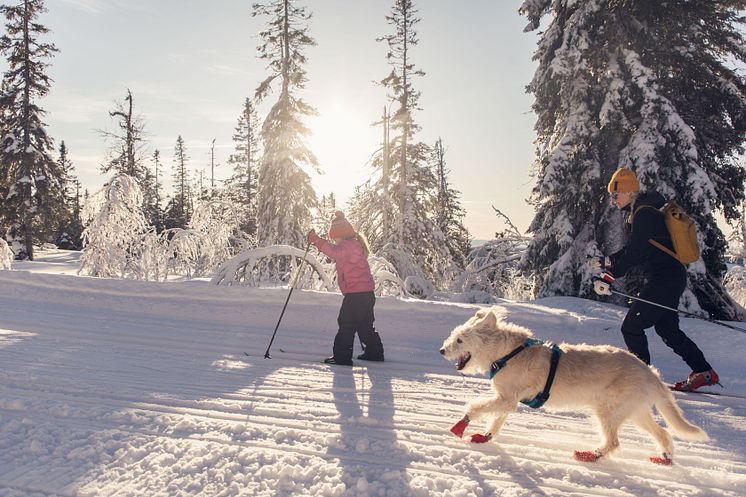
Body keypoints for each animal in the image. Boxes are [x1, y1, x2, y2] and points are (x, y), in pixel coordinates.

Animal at [438, 308, 708, 464]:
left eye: (460, 340)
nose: (441, 350)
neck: (509, 353)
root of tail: (650, 373)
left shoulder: (506, 398)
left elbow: (476, 408)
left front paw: (461, 424)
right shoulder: (507, 400)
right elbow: (496, 419)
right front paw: (485, 436)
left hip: (608, 411)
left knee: (614, 442)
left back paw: (590, 455)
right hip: (636, 412)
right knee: (663, 433)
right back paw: (665, 456)